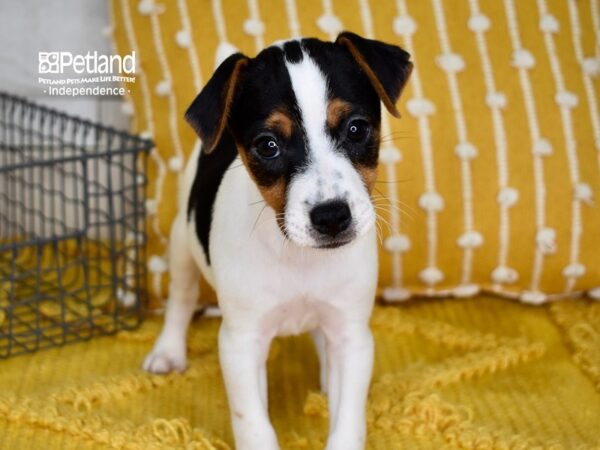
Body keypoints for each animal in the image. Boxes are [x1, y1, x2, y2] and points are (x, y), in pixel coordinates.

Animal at [143, 32, 412, 450]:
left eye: (356, 129)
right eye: (267, 145)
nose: (331, 216)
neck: (299, 257)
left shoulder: (352, 336)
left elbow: (347, 422)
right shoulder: (240, 343)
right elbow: (254, 425)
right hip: (182, 245)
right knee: (181, 299)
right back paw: (168, 351)